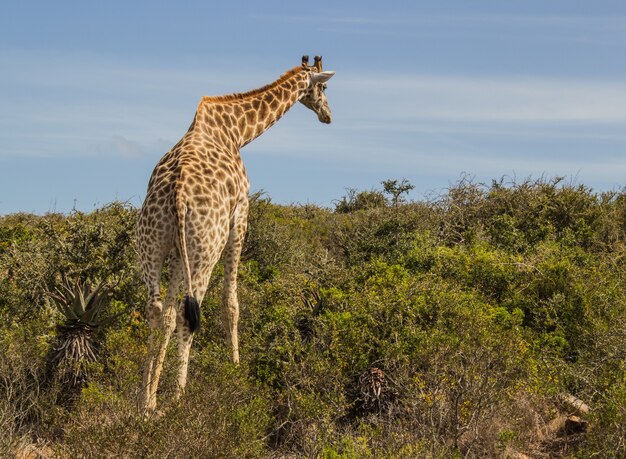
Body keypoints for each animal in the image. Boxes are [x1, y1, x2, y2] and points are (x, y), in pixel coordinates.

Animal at [135, 55, 334, 416]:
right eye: (323, 88)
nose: (327, 115)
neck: (236, 131)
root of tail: (177, 193)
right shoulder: (240, 214)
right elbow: (231, 303)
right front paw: (236, 370)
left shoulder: (176, 252)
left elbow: (168, 315)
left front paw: (151, 397)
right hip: (205, 248)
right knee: (188, 315)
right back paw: (177, 398)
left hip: (151, 243)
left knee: (158, 312)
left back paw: (145, 403)